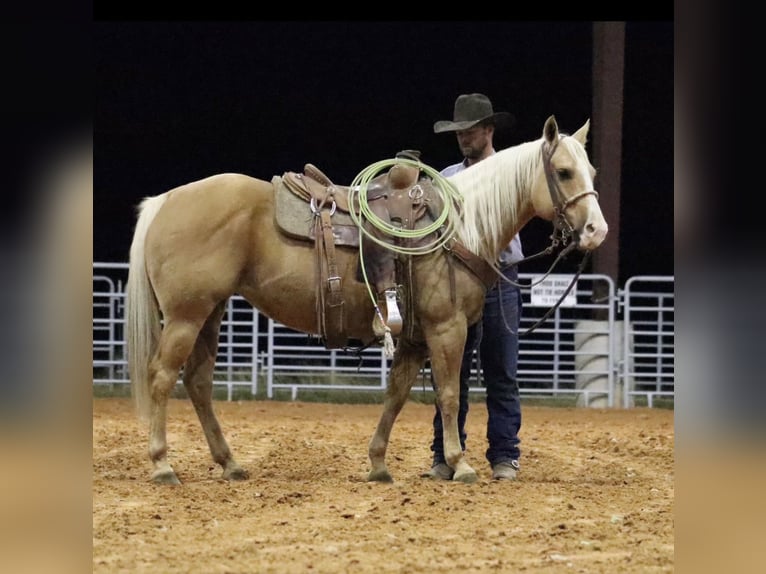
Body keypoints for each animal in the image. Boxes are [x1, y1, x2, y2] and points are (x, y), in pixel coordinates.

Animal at [124, 115, 608, 484]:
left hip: (210, 313)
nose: (596, 231)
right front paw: (460, 464)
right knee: (162, 378)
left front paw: (378, 464)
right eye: (564, 172)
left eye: (592, 172)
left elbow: (397, 395)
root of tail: (165, 201)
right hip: (186, 316)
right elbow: (450, 395)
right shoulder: (446, 328)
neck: (461, 226)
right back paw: (163, 465)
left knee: (198, 382)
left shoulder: (414, 338)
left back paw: (230, 463)